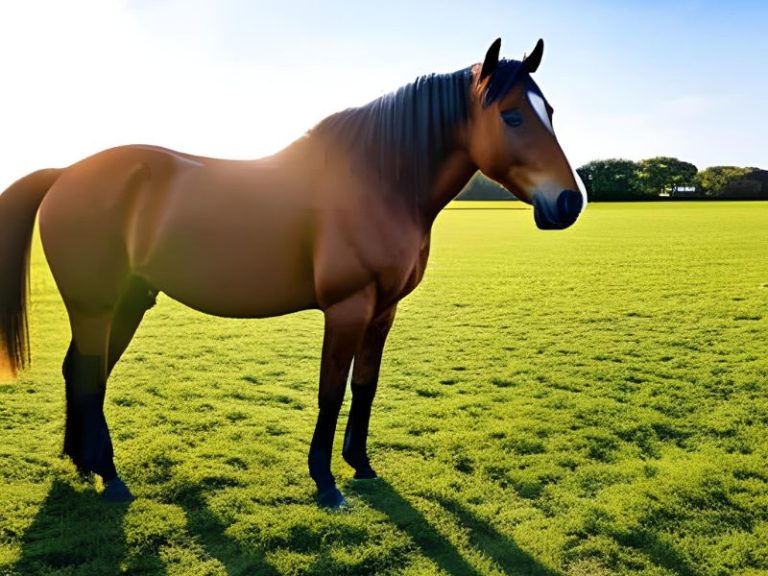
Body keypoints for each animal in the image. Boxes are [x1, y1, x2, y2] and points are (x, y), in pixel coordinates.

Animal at [0, 38, 585, 508]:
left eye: (552, 111)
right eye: (511, 115)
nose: (569, 202)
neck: (377, 181)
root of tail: (65, 173)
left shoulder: (384, 310)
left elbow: (365, 386)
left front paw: (361, 465)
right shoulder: (347, 308)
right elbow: (331, 392)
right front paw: (326, 483)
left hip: (126, 303)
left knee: (80, 374)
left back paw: (86, 466)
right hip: (95, 306)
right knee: (89, 377)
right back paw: (112, 478)